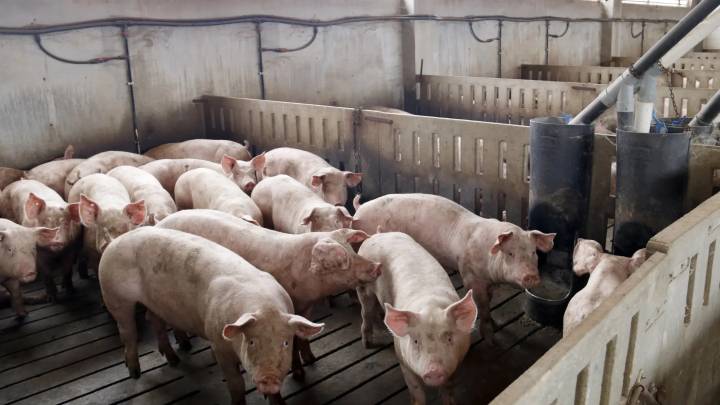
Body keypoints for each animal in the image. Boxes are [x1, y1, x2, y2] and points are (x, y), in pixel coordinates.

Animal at [99, 227, 324, 405]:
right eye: (251, 341)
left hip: (154, 303)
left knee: (154, 322)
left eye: (285, 342)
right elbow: (236, 384)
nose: (269, 380)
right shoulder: (218, 343)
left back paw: (174, 360)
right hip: (115, 296)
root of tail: (113, 242)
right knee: (128, 332)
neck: (263, 306)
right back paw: (135, 373)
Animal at [156, 209, 381, 380]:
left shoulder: (305, 307)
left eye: (351, 249)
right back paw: (175, 357)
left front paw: (312, 359)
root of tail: (159, 225)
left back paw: (184, 345)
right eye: (341, 261)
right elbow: (294, 342)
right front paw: (299, 375)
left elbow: (303, 337)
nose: (376, 266)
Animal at [352, 193, 555, 339]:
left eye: (533, 252)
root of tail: (359, 209)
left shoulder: (489, 282)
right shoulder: (470, 276)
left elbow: (489, 302)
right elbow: (481, 305)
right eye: (510, 253)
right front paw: (490, 338)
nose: (531, 277)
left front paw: (496, 325)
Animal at [357, 231, 477, 405]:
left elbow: (448, 388)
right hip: (363, 287)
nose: (433, 370)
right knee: (365, 312)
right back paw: (367, 344)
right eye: (415, 341)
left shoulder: (455, 363)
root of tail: (377, 235)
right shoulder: (402, 360)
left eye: (449, 338)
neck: (430, 305)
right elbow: (416, 392)